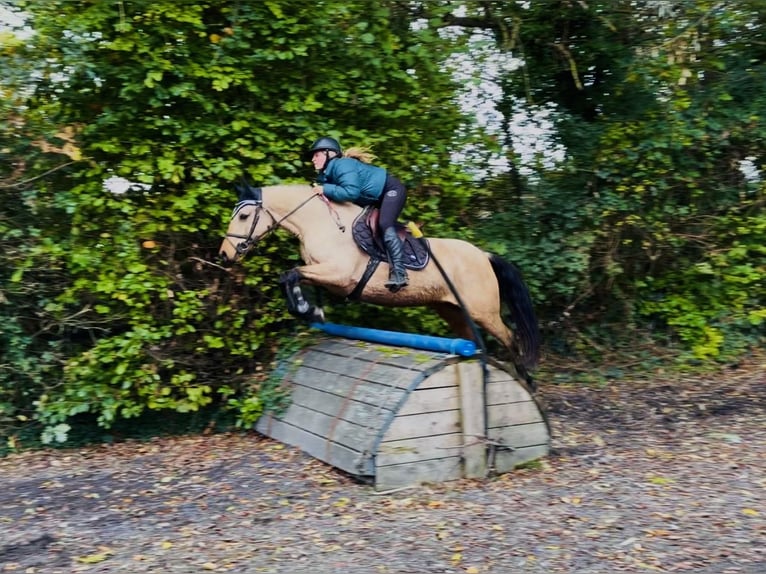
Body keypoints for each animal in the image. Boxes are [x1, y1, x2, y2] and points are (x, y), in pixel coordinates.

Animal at [219, 183, 541, 383]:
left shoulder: (339, 275)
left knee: (511, 337)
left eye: (244, 215)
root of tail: (483, 255)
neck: (321, 224)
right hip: (452, 310)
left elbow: (291, 274)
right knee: (473, 340)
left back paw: (526, 378)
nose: (224, 254)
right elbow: (291, 275)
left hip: (483, 311)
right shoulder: (323, 273)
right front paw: (310, 310)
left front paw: (307, 309)